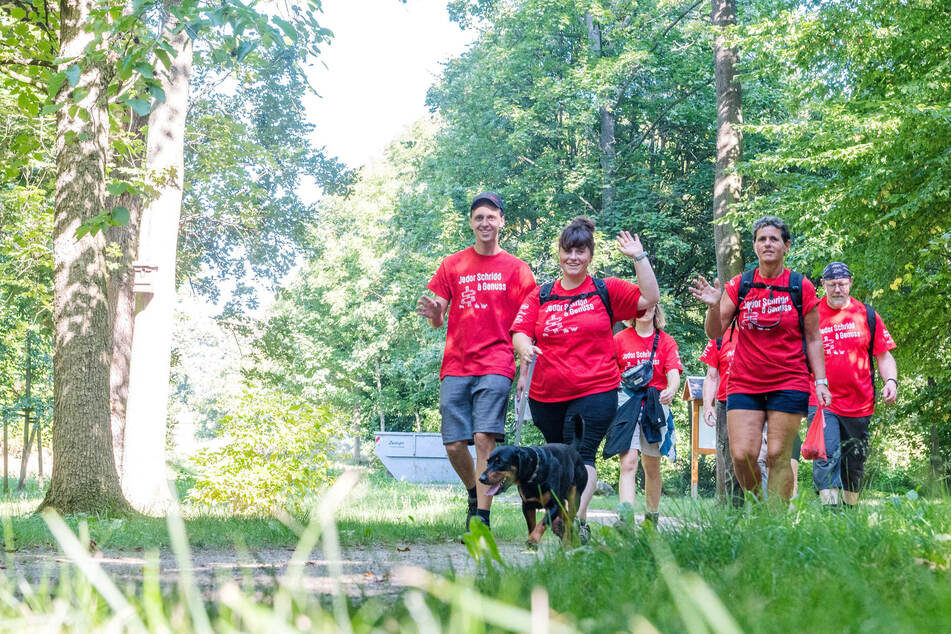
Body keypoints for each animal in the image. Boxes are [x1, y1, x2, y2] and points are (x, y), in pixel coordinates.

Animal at [480, 414, 584, 544]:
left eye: (500, 462)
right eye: (488, 462)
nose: (481, 478)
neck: (534, 476)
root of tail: (572, 448)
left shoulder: (553, 505)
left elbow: (542, 523)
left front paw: (533, 540)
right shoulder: (527, 506)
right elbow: (532, 525)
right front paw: (531, 540)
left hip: (574, 498)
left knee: (570, 520)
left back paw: (568, 540)